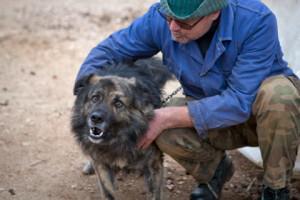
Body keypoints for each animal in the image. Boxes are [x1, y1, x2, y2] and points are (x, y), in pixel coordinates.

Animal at [71, 58, 173, 200]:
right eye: (95, 98)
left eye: (118, 103)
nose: (96, 118)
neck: (117, 139)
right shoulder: (102, 165)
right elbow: (108, 192)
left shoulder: (154, 163)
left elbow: (155, 194)